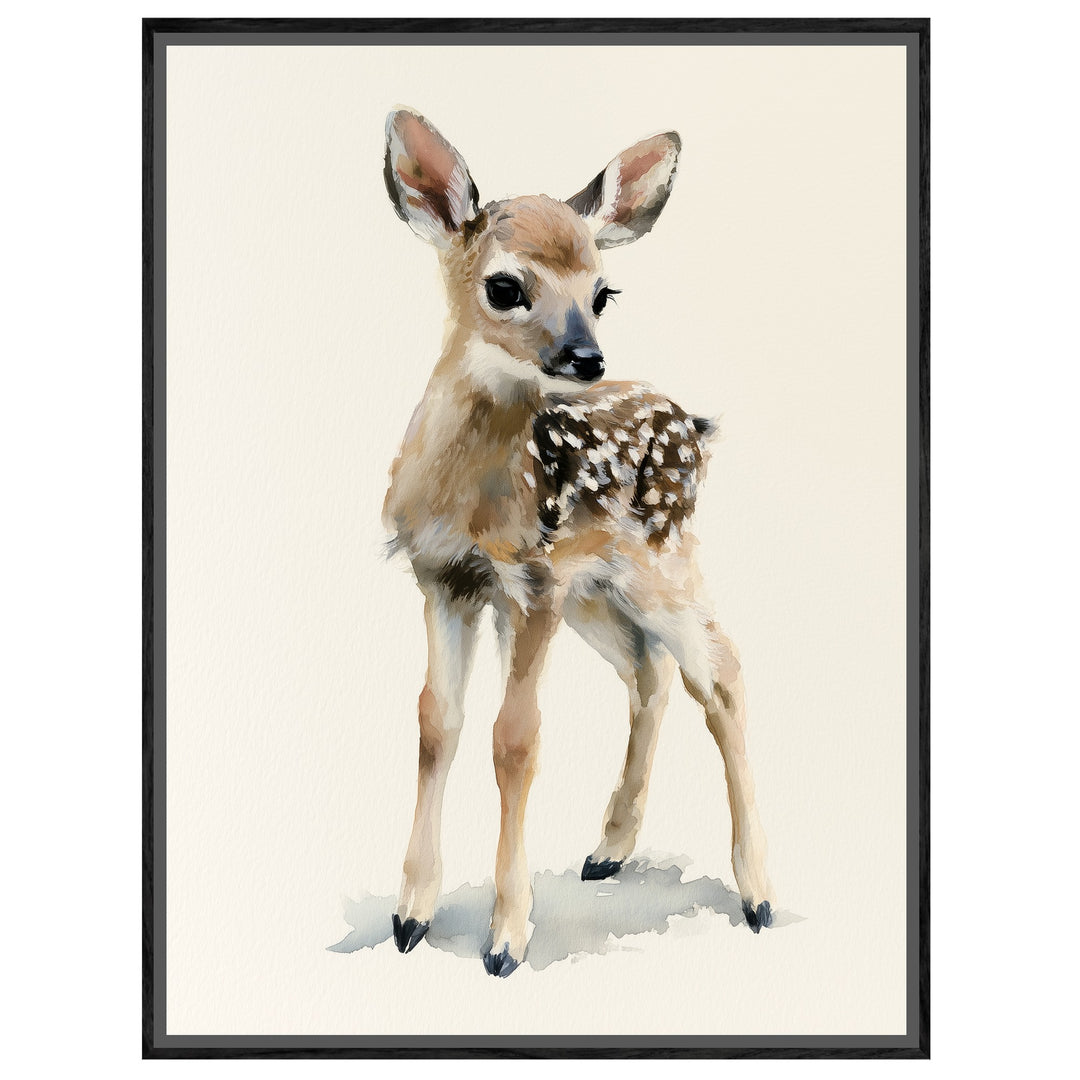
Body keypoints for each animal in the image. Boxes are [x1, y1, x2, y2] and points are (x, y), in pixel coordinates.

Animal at [380, 108, 775, 977]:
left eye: (603, 292)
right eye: (505, 286)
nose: (586, 358)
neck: (470, 498)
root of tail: (693, 425)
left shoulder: (529, 584)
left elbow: (515, 740)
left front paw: (506, 938)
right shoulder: (445, 580)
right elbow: (435, 724)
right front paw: (410, 916)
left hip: (659, 563)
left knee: (721, 672)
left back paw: (759, 894)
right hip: (596, 592)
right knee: (648, 672)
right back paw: (609, 848)